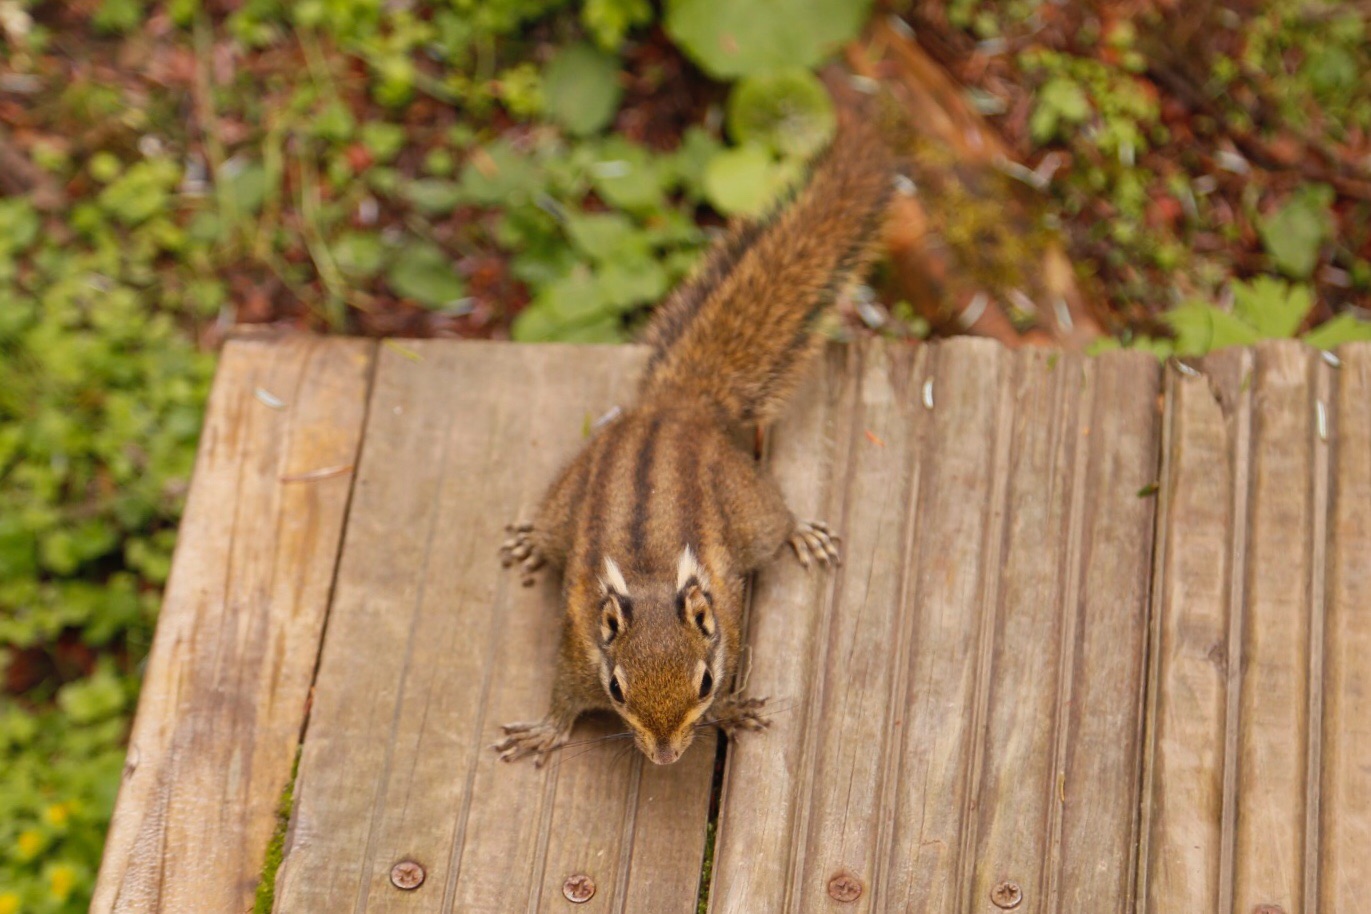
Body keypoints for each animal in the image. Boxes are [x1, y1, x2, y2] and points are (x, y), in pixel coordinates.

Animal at [499, 117, 893, 767]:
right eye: (617, 690)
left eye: (705, 682)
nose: (665, 757)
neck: (653, 578)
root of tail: (675, 407)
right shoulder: (578, 651)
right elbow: (561, 696)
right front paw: (545, 729)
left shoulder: (727, 631)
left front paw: (732, 709)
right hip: (568, 495)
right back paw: (531, 540)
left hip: (748, 505)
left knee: (775, 521)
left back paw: (801, 535)